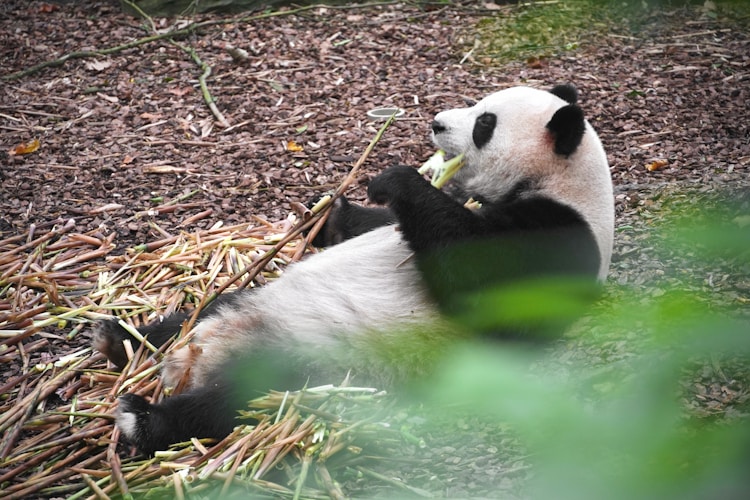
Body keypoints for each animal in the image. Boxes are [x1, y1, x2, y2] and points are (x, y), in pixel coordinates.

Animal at [91, 85, 612, 454]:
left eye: (485, 123)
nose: (437, 124)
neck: (561, 182)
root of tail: (200, 358)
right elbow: (374, 225)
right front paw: (328, 211)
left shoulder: (560, 237)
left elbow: (481, 282)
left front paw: (396, 178)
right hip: (243, 302)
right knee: (193, 316)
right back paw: (119, 339)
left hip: (315, 365)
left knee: (238, 399)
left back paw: (143, 420)